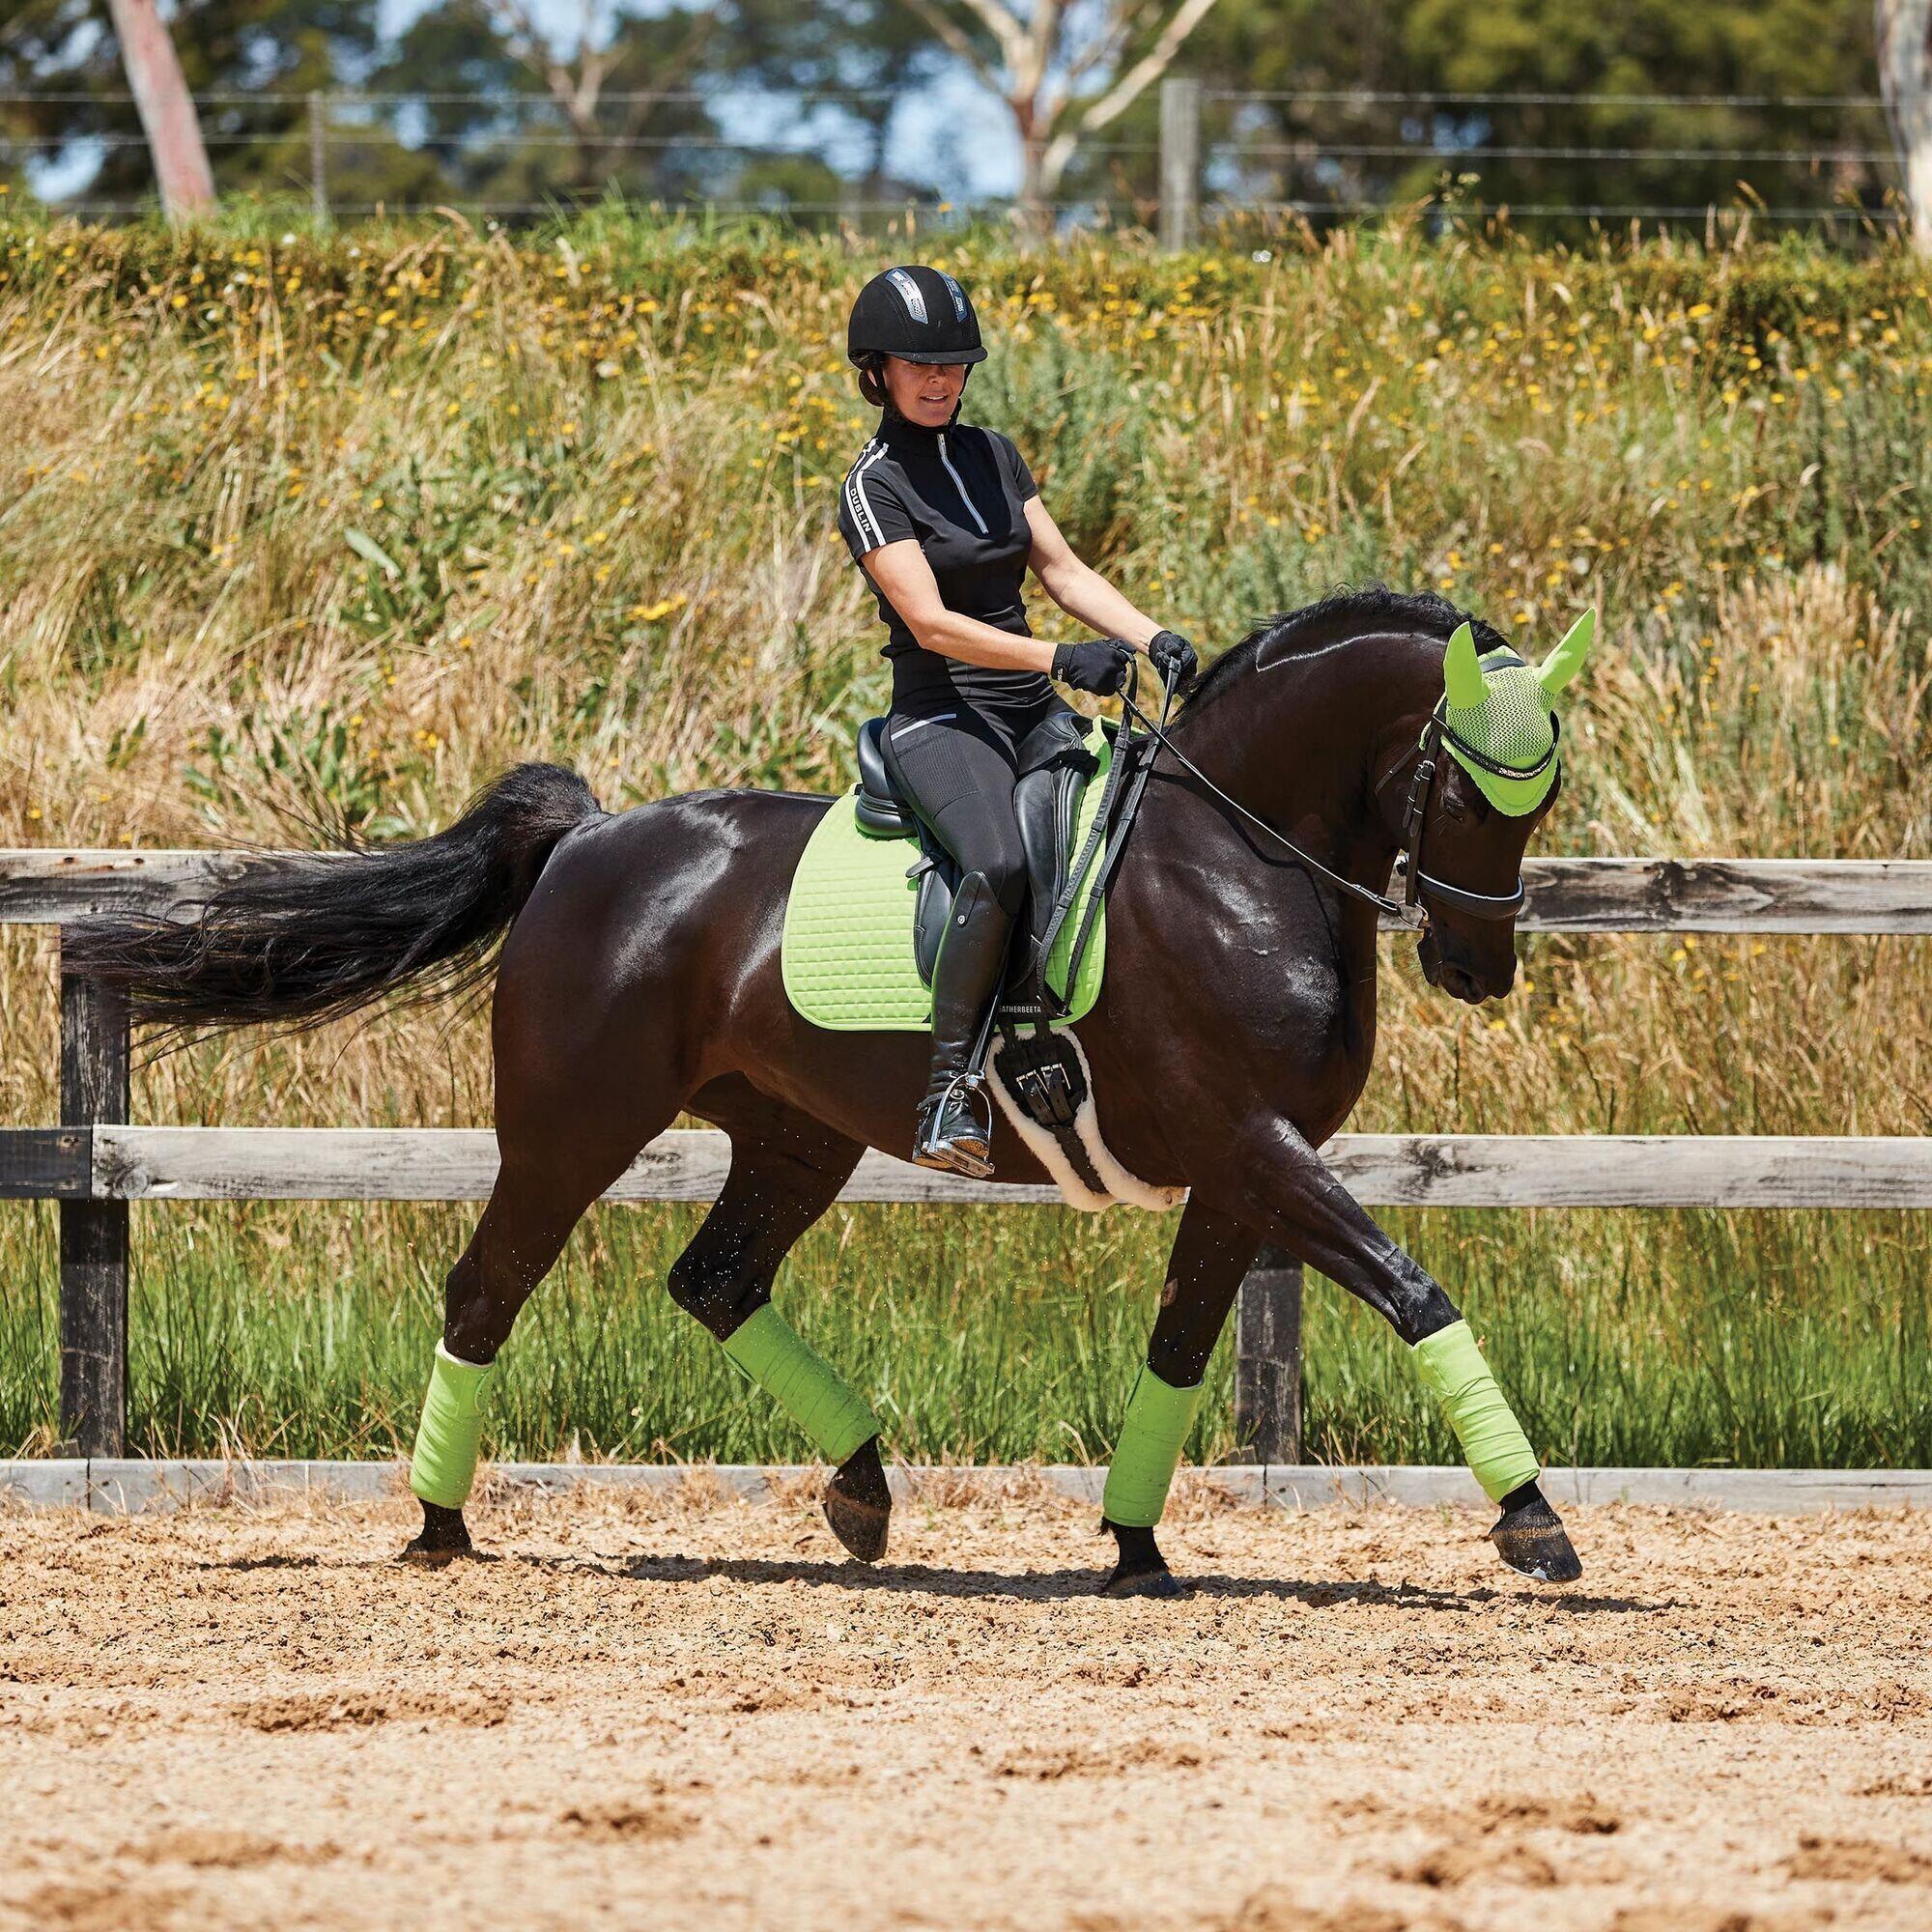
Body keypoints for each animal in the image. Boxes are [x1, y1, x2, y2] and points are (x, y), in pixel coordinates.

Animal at [71, 595, 1584, 1592]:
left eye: (1543, 792)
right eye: (1467, 787)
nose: (1476, 968)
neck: (1234, 858)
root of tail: (592, 837)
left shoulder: (1234, 1169)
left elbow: (1177, 1352)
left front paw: (1135, 1546)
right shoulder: (1254, 1144)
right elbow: (1413, 1289)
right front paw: (1533, 1519)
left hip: (794, 1136)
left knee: (715, 1280)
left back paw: (859, 1494)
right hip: (570, 1129)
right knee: (486, 1289)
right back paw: (440, 1528)